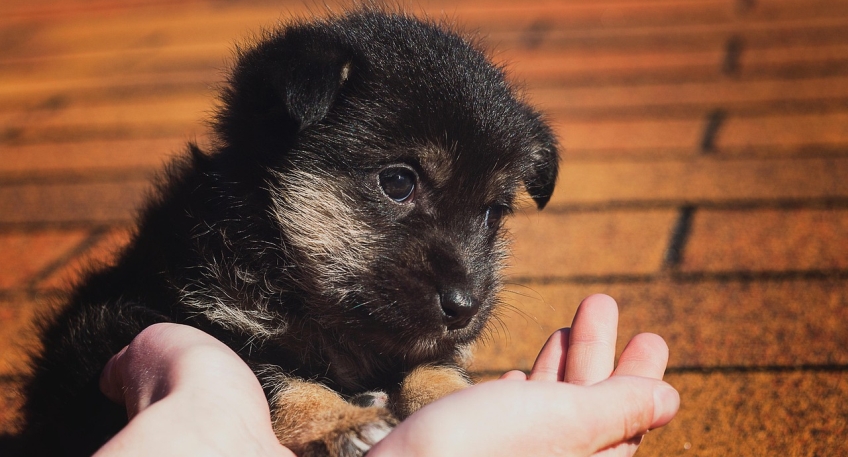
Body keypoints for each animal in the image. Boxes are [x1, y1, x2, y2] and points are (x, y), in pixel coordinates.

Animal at [19, 8, 559, 456]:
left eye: (491, 213)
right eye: (398, 182)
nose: (464, 308)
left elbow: (435, 369)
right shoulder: (158, 321)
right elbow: (277, 381)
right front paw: (340, 423)